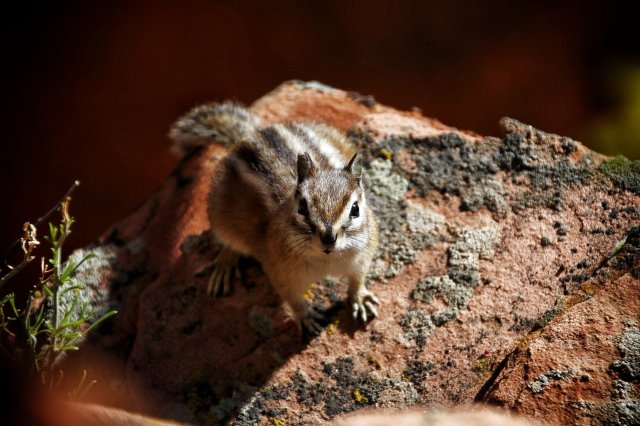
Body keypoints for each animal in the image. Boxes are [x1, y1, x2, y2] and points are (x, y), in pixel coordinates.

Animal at [169, 102, 380, 333]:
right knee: (228, 240)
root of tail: (251, 134)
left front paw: (360, 298)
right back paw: (225, 264)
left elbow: (358, 279)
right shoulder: (280, 271)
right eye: (302, 208)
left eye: (355, 209)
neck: (327, 260)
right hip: (220, 213)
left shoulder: (363, 255)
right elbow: (292, 298)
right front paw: (306, 317)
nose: (328, 238)